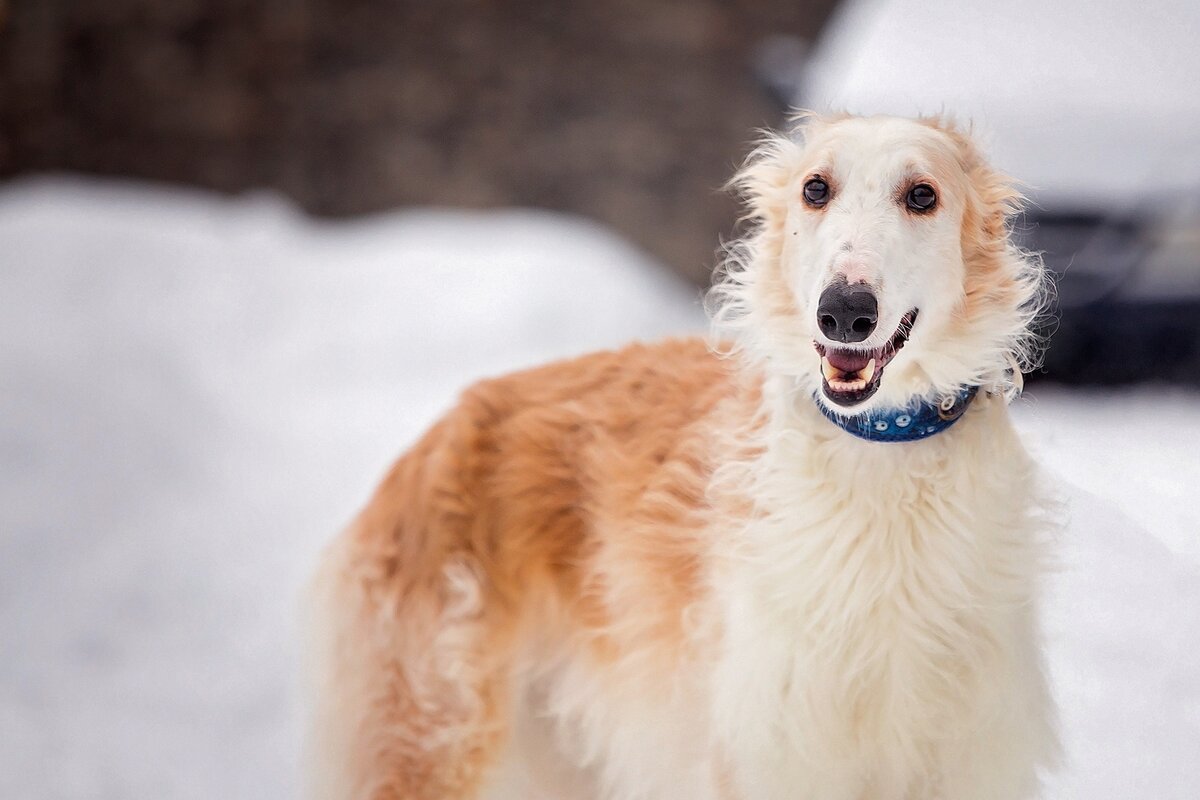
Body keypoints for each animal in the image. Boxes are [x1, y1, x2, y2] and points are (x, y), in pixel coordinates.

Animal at [307, 113, 1060, 800]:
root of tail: (434, 435)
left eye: (922, 194)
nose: (844, 312)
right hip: (433, 732)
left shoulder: (968, 754)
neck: (878, 460)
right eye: (816, 188)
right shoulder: (771, 751)